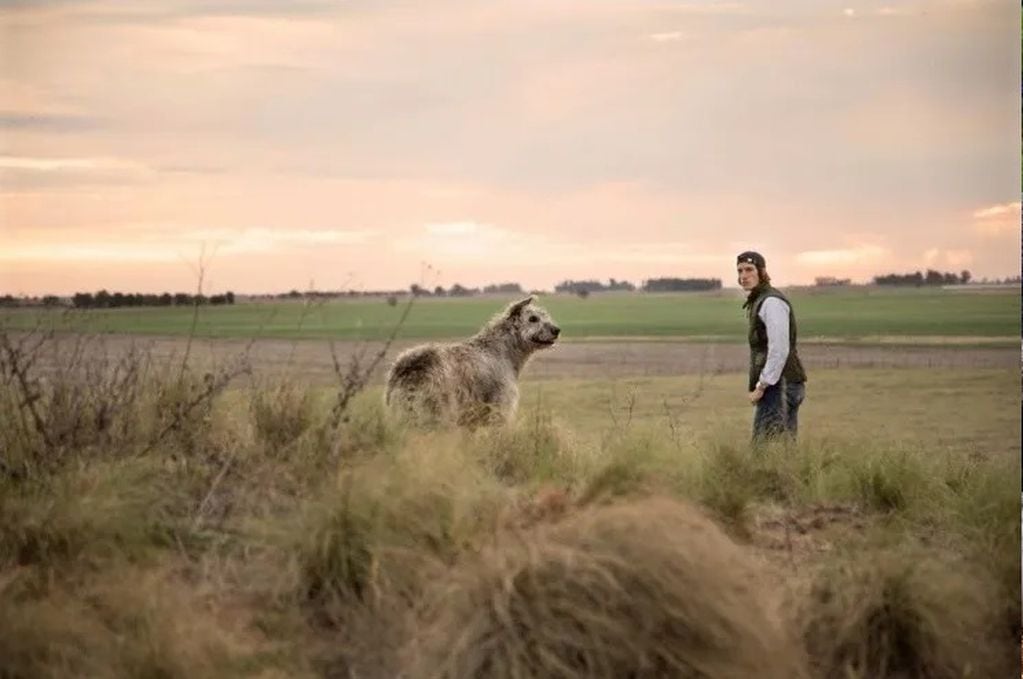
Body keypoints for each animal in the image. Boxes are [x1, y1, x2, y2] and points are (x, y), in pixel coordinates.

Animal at [384, 296, 560, 427]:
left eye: (546, 316)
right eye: (533, 318)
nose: (557, 330)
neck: (503, 349)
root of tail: (411, 365)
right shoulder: (500, 407)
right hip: (439, 412)